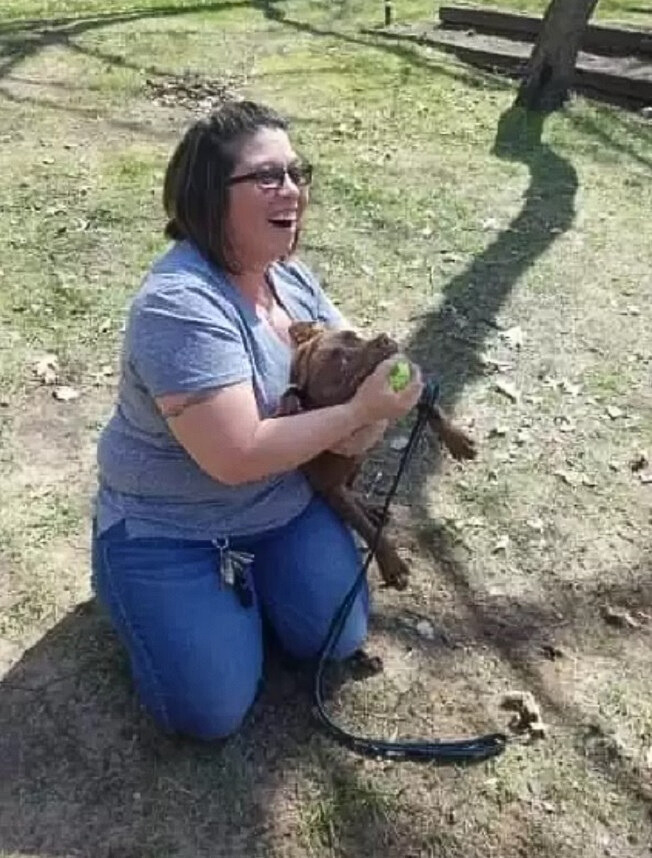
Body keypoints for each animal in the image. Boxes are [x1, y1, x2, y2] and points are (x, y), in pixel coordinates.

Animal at [278, 320, 476, 588]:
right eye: (340, 360)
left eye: (354, 336)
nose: (383, 338)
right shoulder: (330, 489)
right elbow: (367, 531)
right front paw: (391, 562)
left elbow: (429, 405)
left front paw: (455, 437)